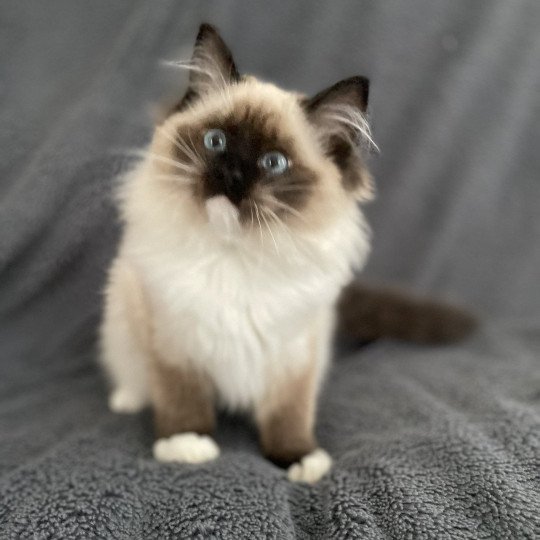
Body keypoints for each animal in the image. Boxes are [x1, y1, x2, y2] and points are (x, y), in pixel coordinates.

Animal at [99, 23, 474, 484]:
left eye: (274, 163)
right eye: (216, 142)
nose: (231, 174)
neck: (235, 256)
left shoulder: (293, 356)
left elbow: (288, 416)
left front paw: (299, 460)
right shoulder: (173, 342)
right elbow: (181, 398)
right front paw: (186, 445)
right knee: (129, 371)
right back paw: (128, 398)